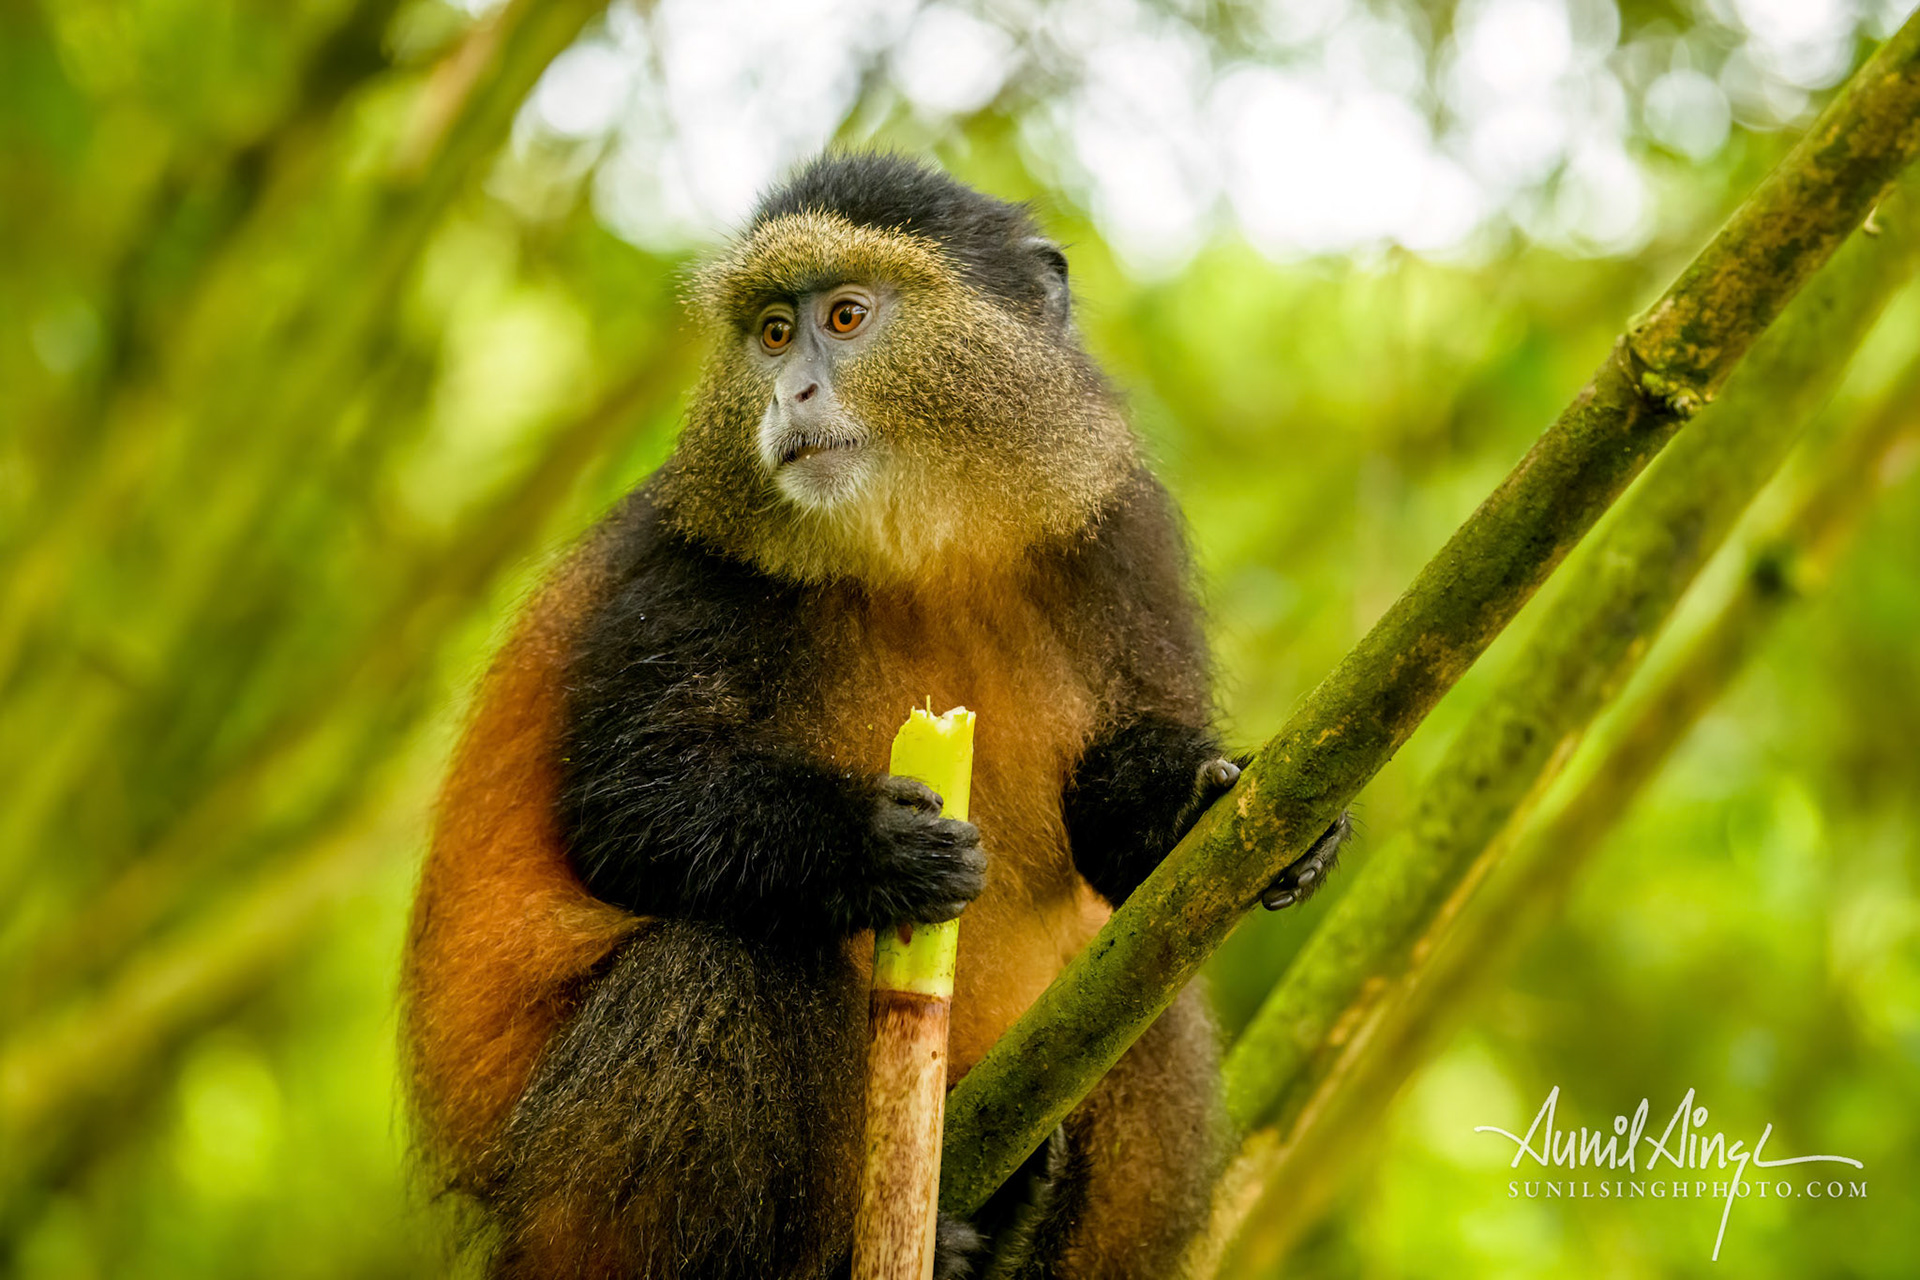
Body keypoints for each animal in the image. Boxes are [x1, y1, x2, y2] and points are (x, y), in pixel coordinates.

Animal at [401, 152, 1347, 1280]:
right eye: (773, 332)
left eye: (846, 317)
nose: (791, 390)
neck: (925, 547)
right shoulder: (687, 564)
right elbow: (628, 809)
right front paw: (875, 845)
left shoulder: (1120, 527)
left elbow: (1124, 834)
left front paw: (1207, 799)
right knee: (724, 959)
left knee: (1146, 991)